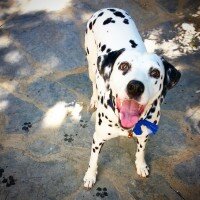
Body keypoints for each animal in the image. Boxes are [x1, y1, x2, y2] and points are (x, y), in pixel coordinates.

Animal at [83, 8, 181, 189]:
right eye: (123, 66)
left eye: (155, 72)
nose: (135, 87)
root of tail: (106, 9)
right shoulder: (98, 138)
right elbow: (93, 160)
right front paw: (90, 175)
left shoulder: (144, 134)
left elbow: (141, 152)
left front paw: (141, 165)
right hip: (92, 65)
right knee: (94, 82)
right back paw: (94, 99)